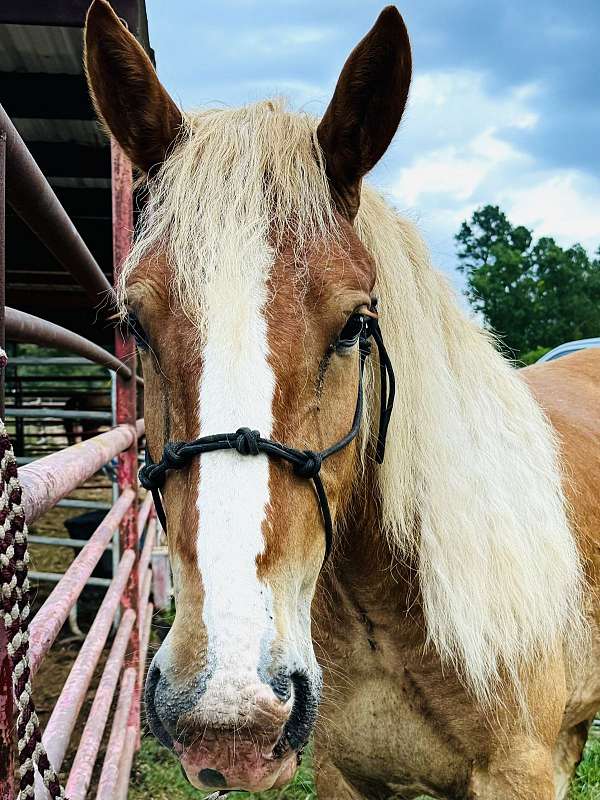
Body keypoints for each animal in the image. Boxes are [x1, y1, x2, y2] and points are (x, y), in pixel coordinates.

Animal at [84, 3, 600, 796]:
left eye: (357, 323)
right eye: (134, 322)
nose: (229, 707)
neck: (388, 614)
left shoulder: (520, 771)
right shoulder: (341, 772)